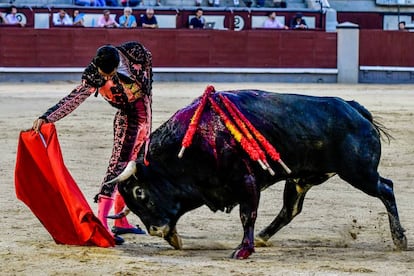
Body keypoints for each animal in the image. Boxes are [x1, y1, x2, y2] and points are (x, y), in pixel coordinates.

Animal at [108, 90, 406, 258]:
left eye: (140, 192)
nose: (155, 230)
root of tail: (354, 108)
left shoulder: (245, 181)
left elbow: (246, 214)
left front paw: (242, 250)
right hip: (300, 180)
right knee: (290, 209)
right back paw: (264, 236)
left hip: (359, 173)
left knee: (387, 188)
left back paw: (399, 240)